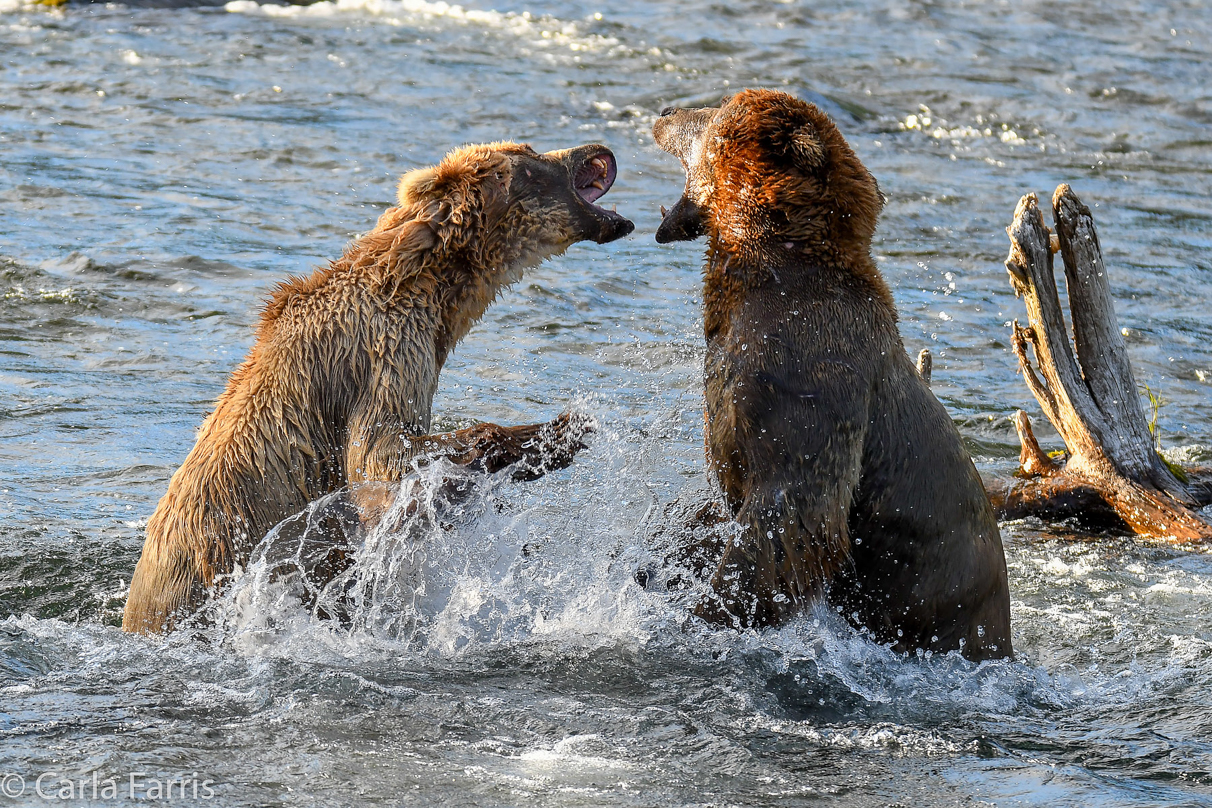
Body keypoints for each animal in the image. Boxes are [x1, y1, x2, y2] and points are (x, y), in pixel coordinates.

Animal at [654, 91, 1013, 658]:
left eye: (715, 110)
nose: (666, 110)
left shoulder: (809, 380)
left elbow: (791, 517)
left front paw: (706, 614)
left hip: (949, 614)